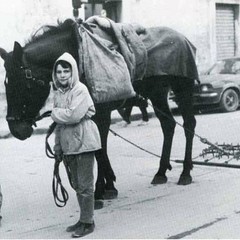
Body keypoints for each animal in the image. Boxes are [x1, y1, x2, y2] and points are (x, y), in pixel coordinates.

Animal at [0, 18, 199, 206]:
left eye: (23, 84)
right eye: (6, 84)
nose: (17, 130)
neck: (77, 54)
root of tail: (183, 38)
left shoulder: (101, 113)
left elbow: (99, 149)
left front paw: (100, 191)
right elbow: (99, 149)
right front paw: (108, 185)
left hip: (183, 89)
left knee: (189, 124)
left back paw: (185, 172)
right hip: (157, 93)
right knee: (168, 125)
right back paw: (161, 172)